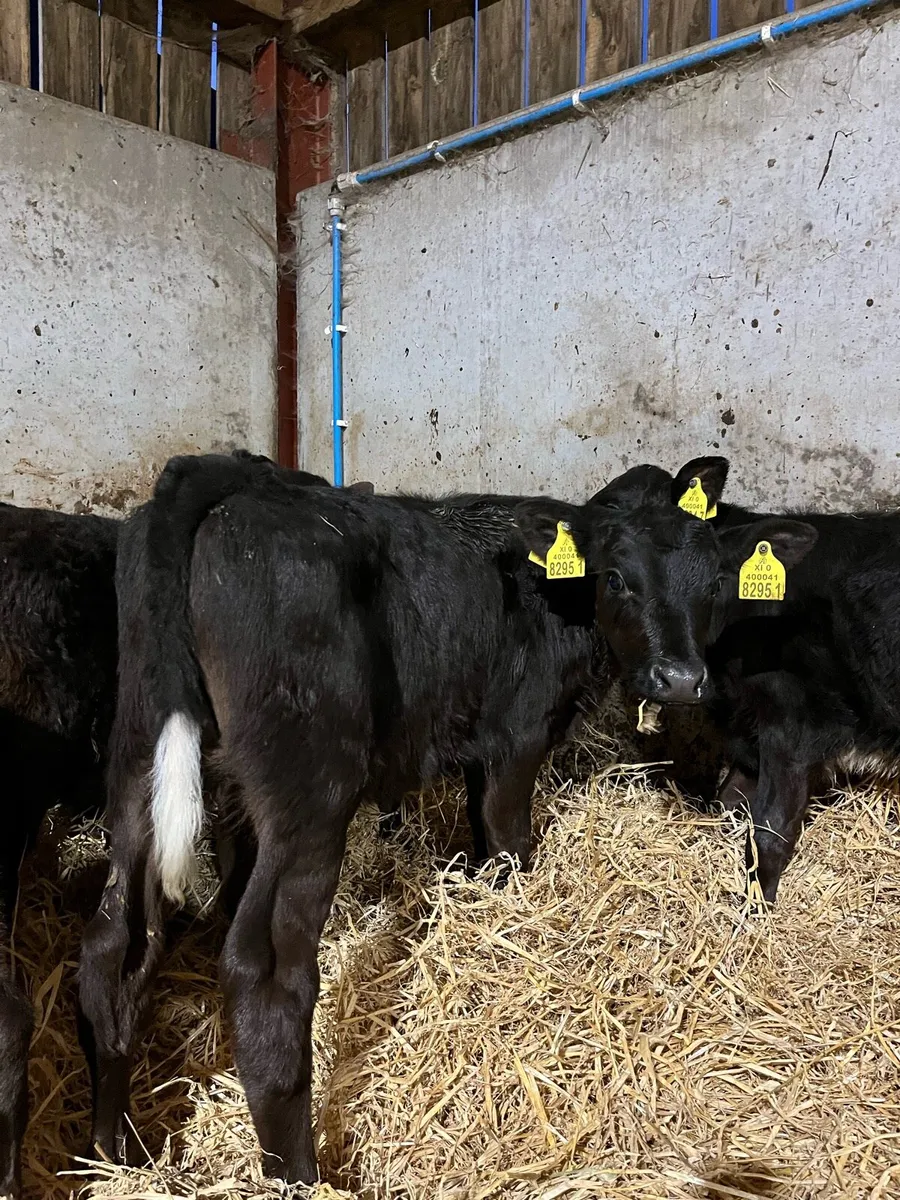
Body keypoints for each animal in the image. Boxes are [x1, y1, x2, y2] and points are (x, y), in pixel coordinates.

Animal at [75, 451, 812, 1184]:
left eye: (714, 584)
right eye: (617, 577)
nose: (680, 678)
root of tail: (220, 472)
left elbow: (483, 835)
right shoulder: (516, 734)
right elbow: (509, 840)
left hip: (138, 751)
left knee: (114, 945)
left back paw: (116, 1152)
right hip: (307, 790)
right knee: (268, 975)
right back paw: (299, 1174)